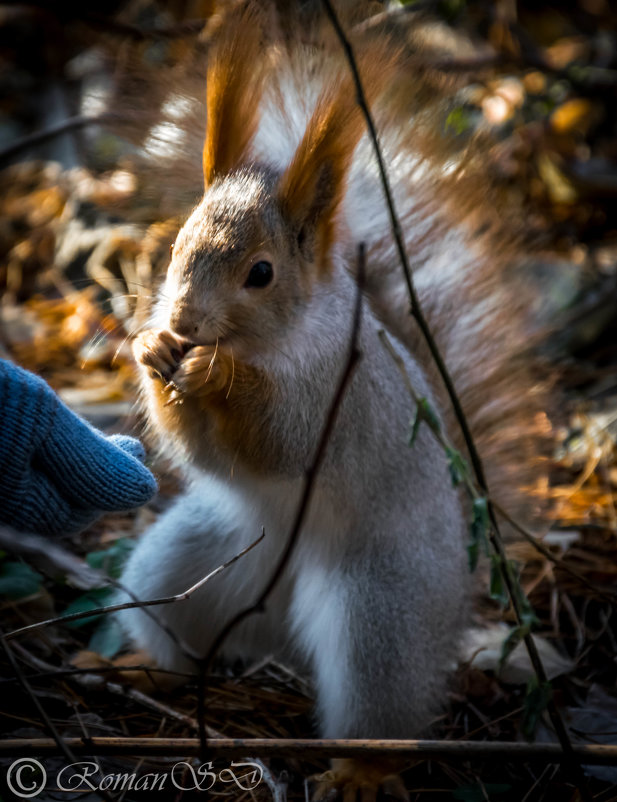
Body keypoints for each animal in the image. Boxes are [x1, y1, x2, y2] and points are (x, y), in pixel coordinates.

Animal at [116, 3, 548, 796]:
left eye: (260, 273)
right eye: (177, 246)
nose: (186, 322)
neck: (272, 342)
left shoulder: (334, 401)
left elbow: (276, 441)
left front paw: (215, 375)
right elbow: (204, 451)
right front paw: (154, 351)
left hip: (380, 612)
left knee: (378, 701)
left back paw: (360, 769)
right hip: (187, 565)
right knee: (178, 627)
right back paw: (146, 669)